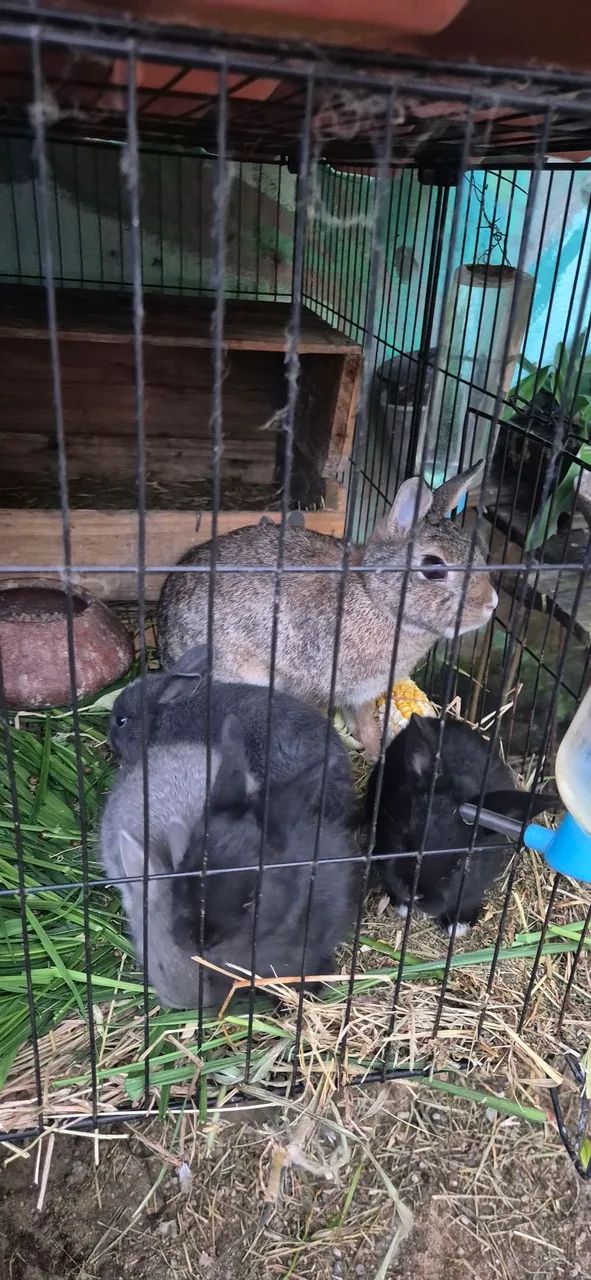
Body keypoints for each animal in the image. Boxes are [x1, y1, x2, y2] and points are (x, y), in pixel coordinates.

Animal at [156, 461, 498, 759]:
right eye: (433, 567)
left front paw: (376, 754)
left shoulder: (363, 695)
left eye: (478, 552)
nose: (492, 603)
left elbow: (366, 724)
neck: (374, 598)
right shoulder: (316, 688)